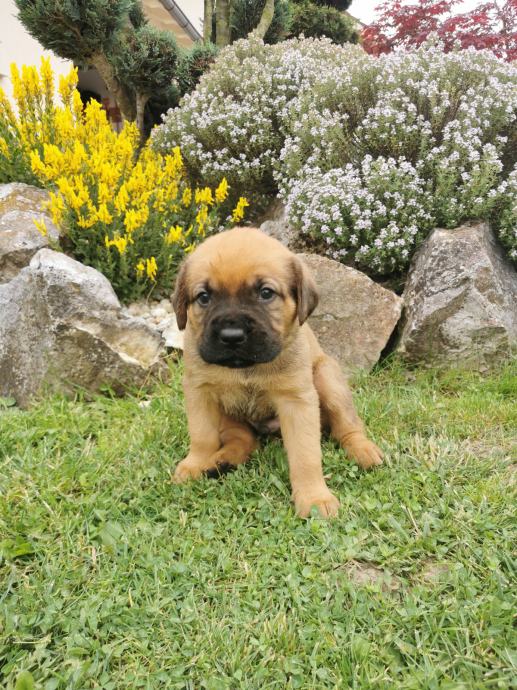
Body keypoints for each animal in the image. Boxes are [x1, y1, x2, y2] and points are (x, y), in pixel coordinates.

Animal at [172, 227, 383, 517]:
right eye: (204, 297)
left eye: (265, 293)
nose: (232, 335)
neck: (246, 368)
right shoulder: (200, 392)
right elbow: (202, 436)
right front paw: (195, 463)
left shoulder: (296, 401)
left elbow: (306, 456)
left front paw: (314, 498)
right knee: (244, 439)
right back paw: (222, 460)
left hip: (326, 377)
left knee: (348, 426)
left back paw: (363, 450)